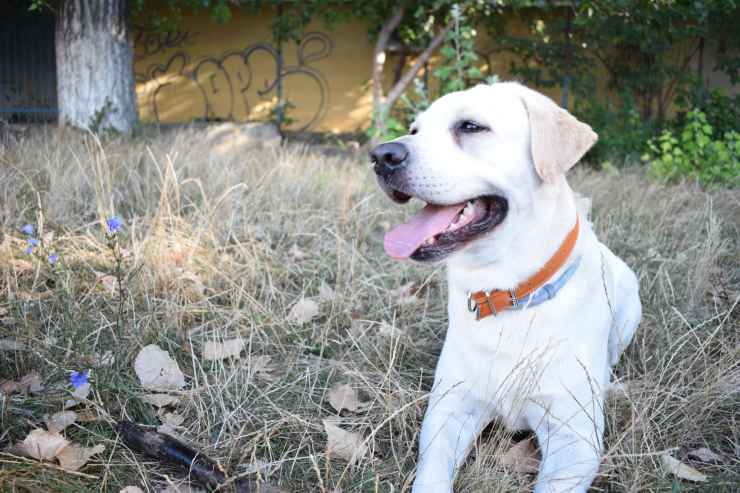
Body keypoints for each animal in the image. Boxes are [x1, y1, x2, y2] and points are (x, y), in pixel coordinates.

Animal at [370, 82, 640, 490]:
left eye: (470, 126)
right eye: (415, 130)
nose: (381, 155)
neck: (506, 292)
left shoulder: (574, 440)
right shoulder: (449, 408)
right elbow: (431, 475)